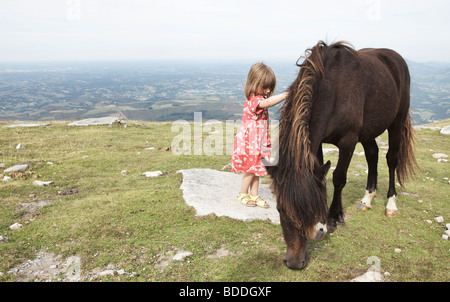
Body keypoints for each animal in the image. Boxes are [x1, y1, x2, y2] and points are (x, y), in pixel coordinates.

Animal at [266, 41, 416, 270]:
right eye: (280, 209)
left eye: (308, 211)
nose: (294, 263)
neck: (331, 88)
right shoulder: (317, 143)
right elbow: (321, 177)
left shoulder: (348, 141)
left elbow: (338, 178)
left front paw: (333, 218)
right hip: (368, 130)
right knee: (372, 154)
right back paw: (367, 198)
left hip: (396, 122)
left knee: (392, 159)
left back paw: (391, 204)